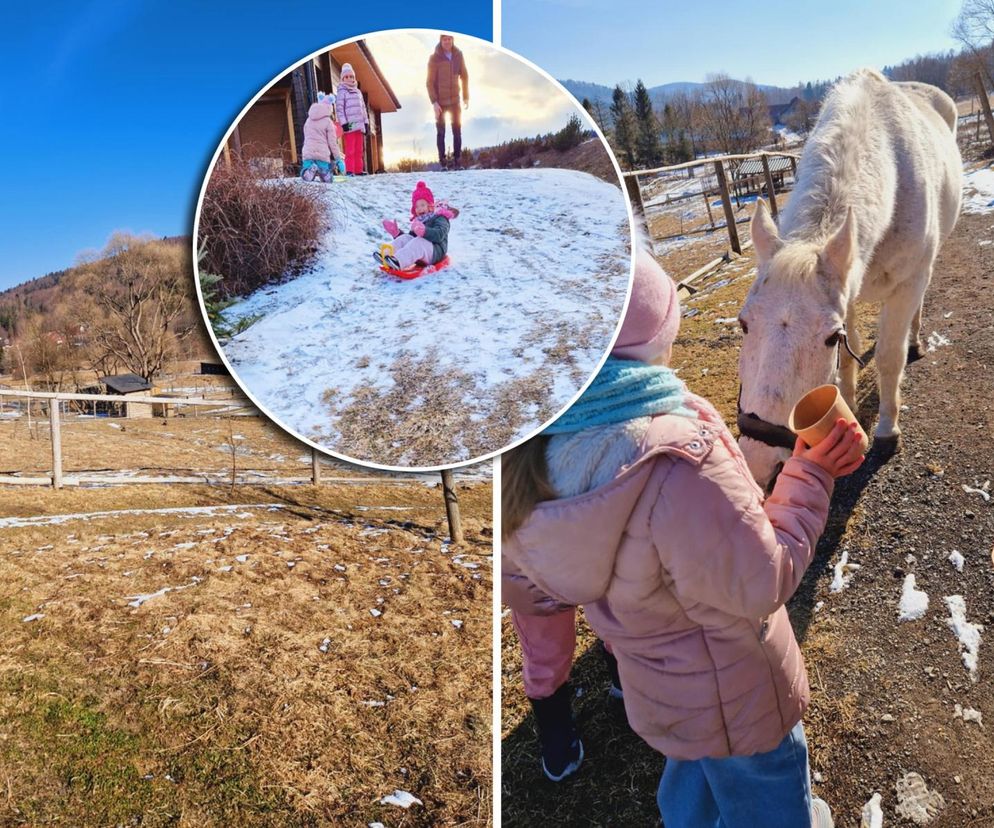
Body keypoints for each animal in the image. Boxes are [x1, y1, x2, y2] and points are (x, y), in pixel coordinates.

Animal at [736, 69, 960, 492]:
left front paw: (887, 431)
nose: (758, 464)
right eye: (743, 325)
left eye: (828, 338)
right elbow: (850, 356)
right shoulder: (848, 294)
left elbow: (888, 358)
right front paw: (849, 407)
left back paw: (916, 340)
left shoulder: (906, 285)